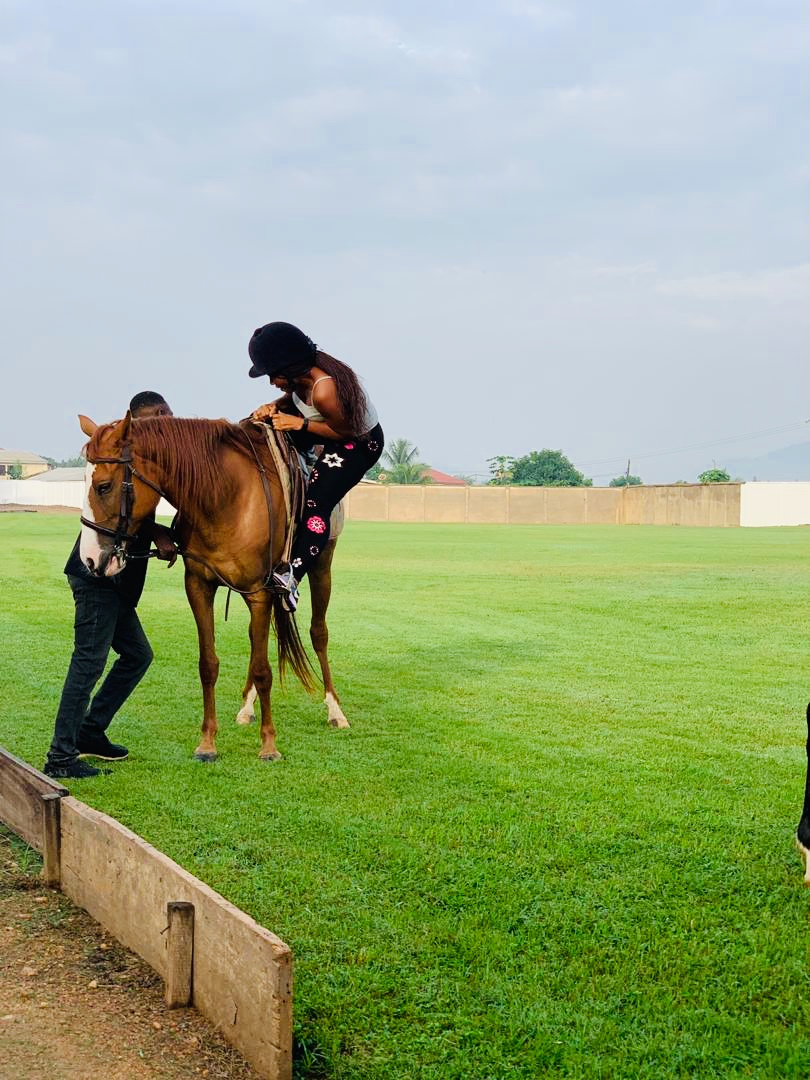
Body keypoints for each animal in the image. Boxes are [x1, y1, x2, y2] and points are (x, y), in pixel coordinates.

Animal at [77, 411, 350, 762]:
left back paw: (334, 710)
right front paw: (207, 742)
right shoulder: (199, 587)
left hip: (320, 567)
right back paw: (247, 707)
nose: (88, 558)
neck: (224, 496)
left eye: (104, 486)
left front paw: (269, 745)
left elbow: (263, 670)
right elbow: (208, 664)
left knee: (318, 633)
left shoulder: (259, 593)